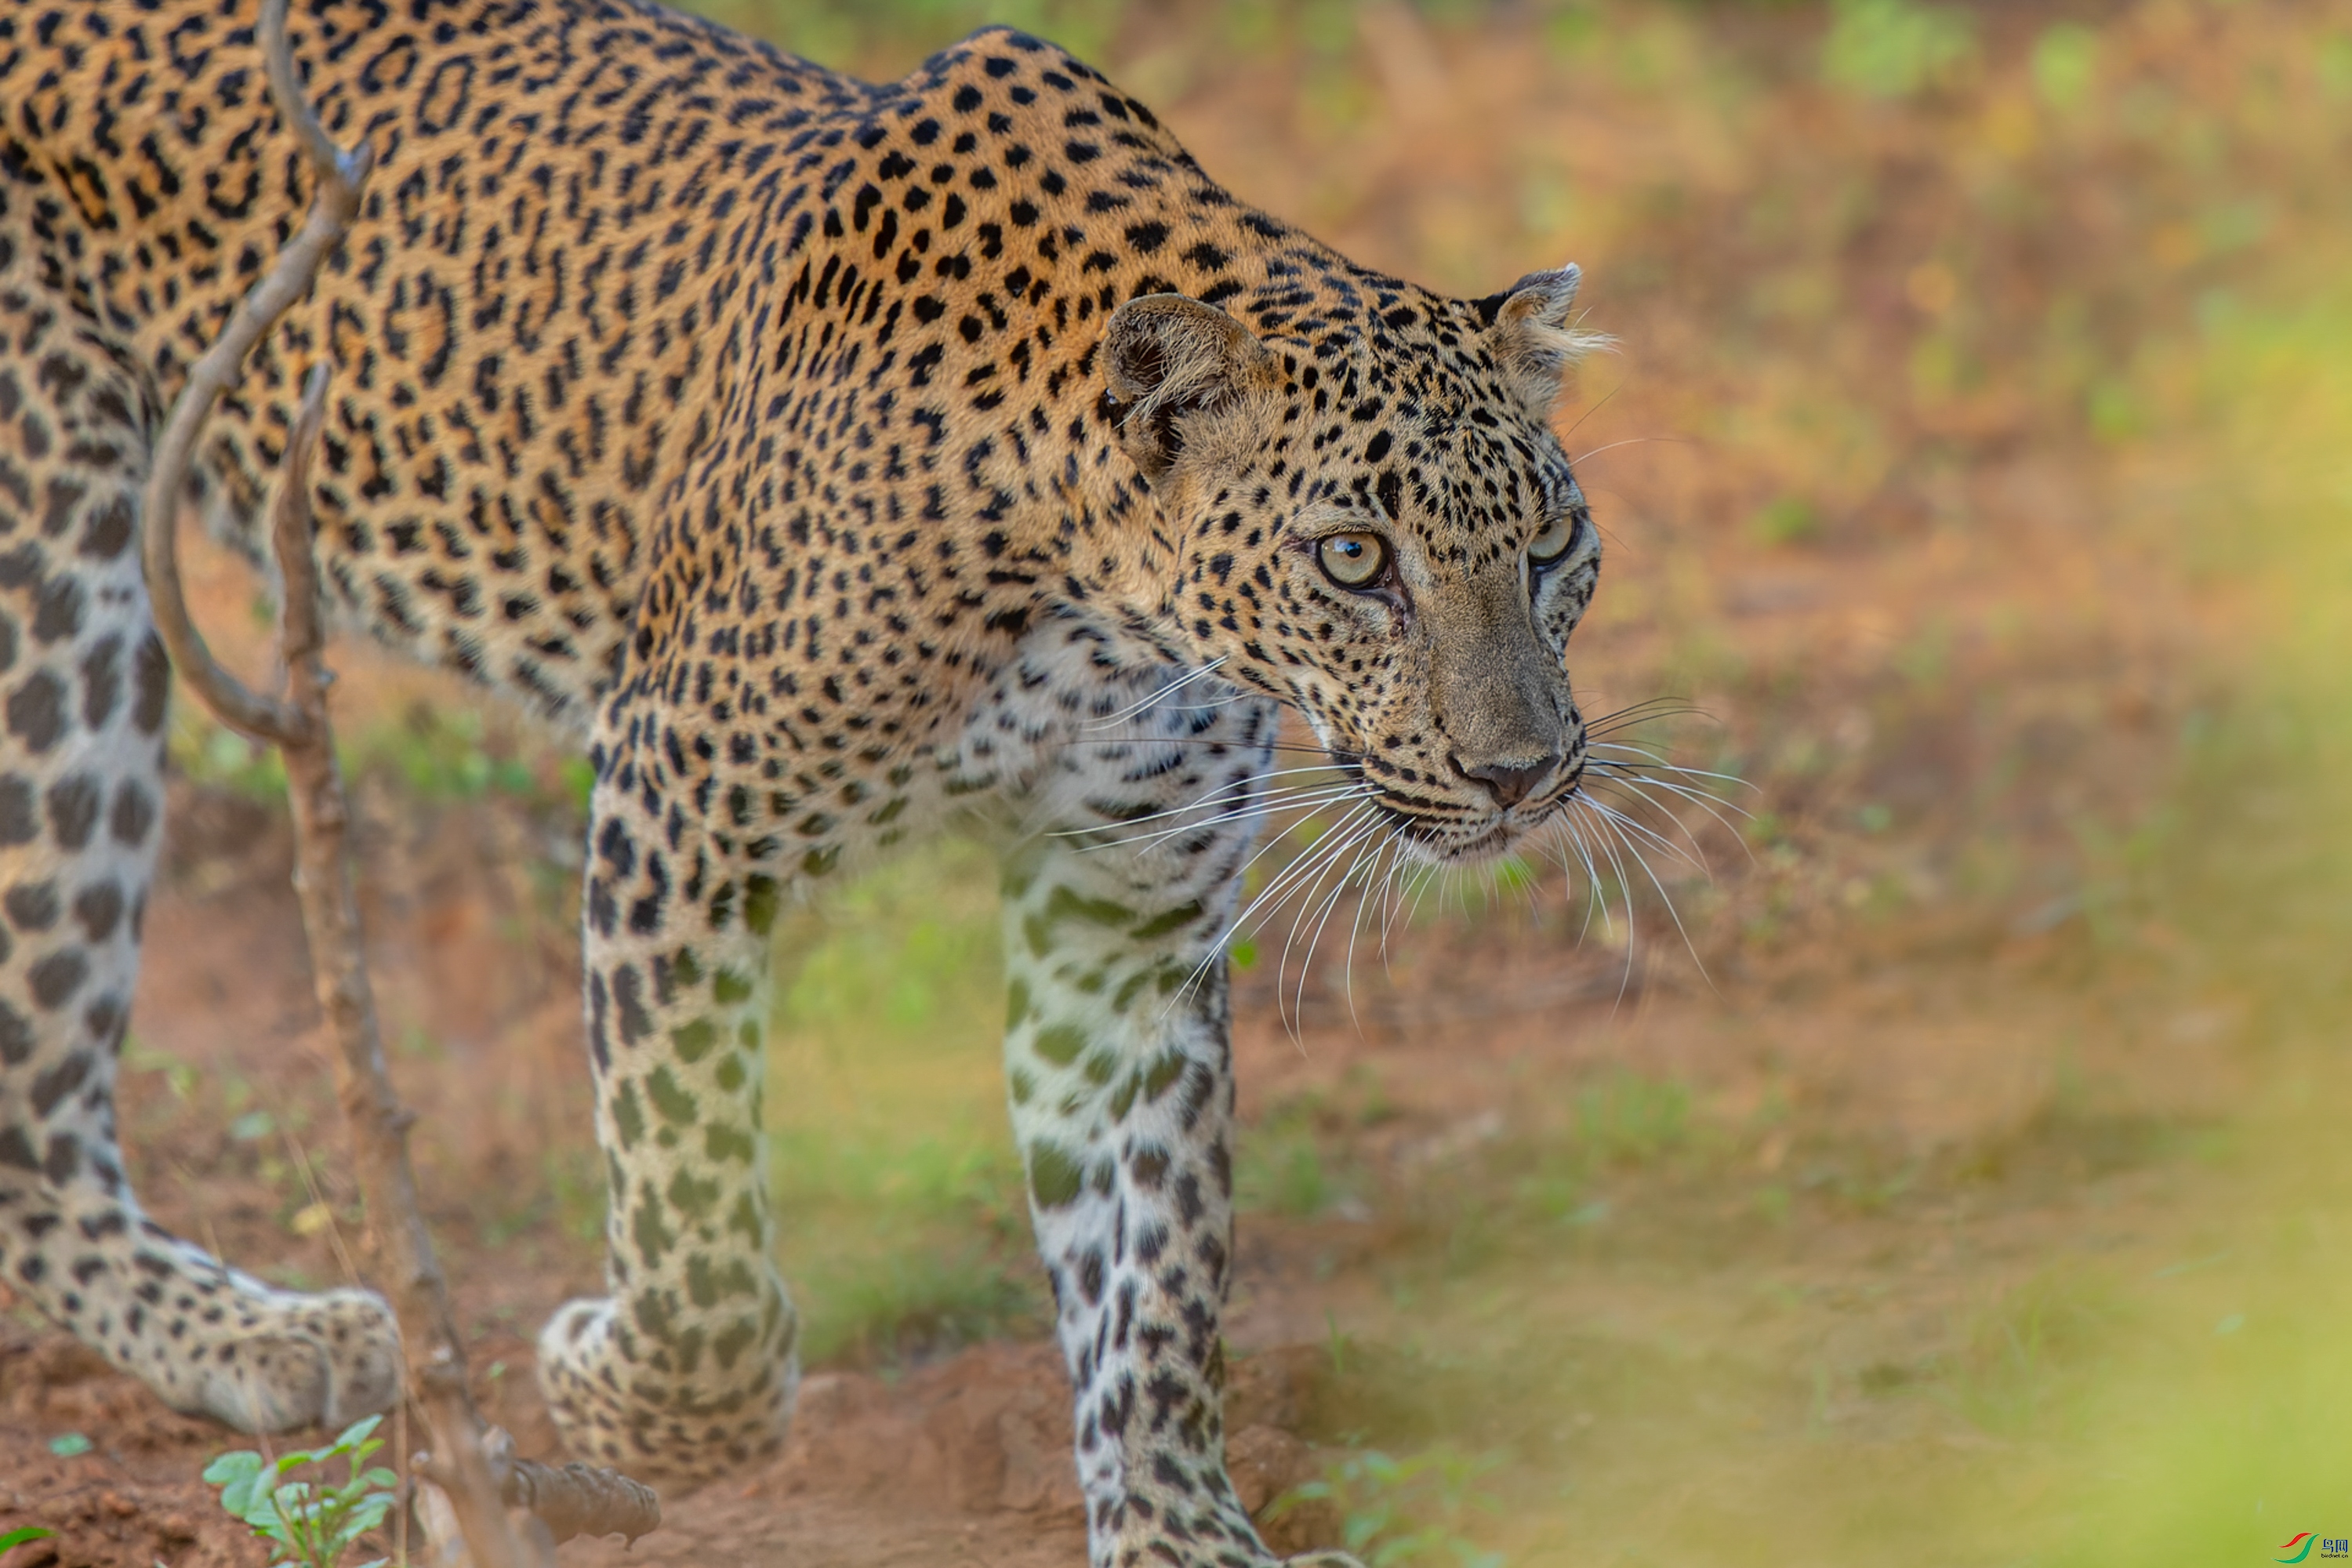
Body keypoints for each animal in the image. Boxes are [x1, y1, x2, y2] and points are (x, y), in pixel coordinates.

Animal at [0, 1, 1610, 1562]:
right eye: (1354, 560)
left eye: (1549, 546)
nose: (1523, 774)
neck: (1097, 600)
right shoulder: (675, 804)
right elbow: (692, 1212)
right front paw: (614, 1392)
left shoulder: (1125, 904)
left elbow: (1154, 1274)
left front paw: (1176, 1530)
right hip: (63, 608)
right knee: (36, 1094)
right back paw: (265, 1334)